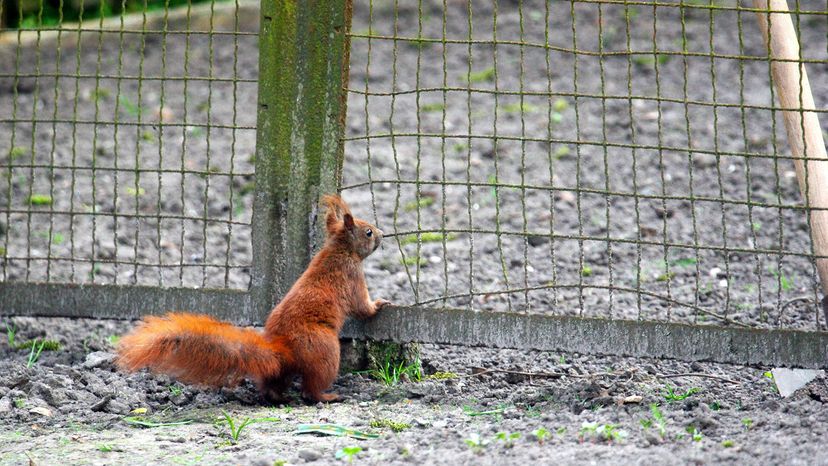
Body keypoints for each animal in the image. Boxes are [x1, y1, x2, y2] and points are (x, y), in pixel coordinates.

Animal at [115, 195, 390, 402]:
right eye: (368, 232)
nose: (382, 233)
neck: (339, 250)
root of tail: (283, 349)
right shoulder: (353, 278)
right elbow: (362, 307)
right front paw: (380, 304)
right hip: (326, 352)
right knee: (310, 389)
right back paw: (327, 396)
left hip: (285, 369)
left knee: (274, 385)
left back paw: (279, 397)